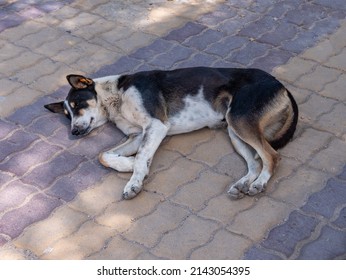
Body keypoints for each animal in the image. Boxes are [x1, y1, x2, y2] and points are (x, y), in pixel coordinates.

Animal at [44, 67, 298, 200]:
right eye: (66, 115)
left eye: (77, 105)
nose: (74, 132)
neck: (116, 96)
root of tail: (279, 83)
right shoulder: (137, 135)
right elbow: (104, 156)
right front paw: (128, 164)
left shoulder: (156, 126)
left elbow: (140, 159)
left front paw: (134, 180)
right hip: (234, 130)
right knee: (255, 162)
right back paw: (242, 184)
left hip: (239, 120)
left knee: (272, 156)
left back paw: (260, 183)